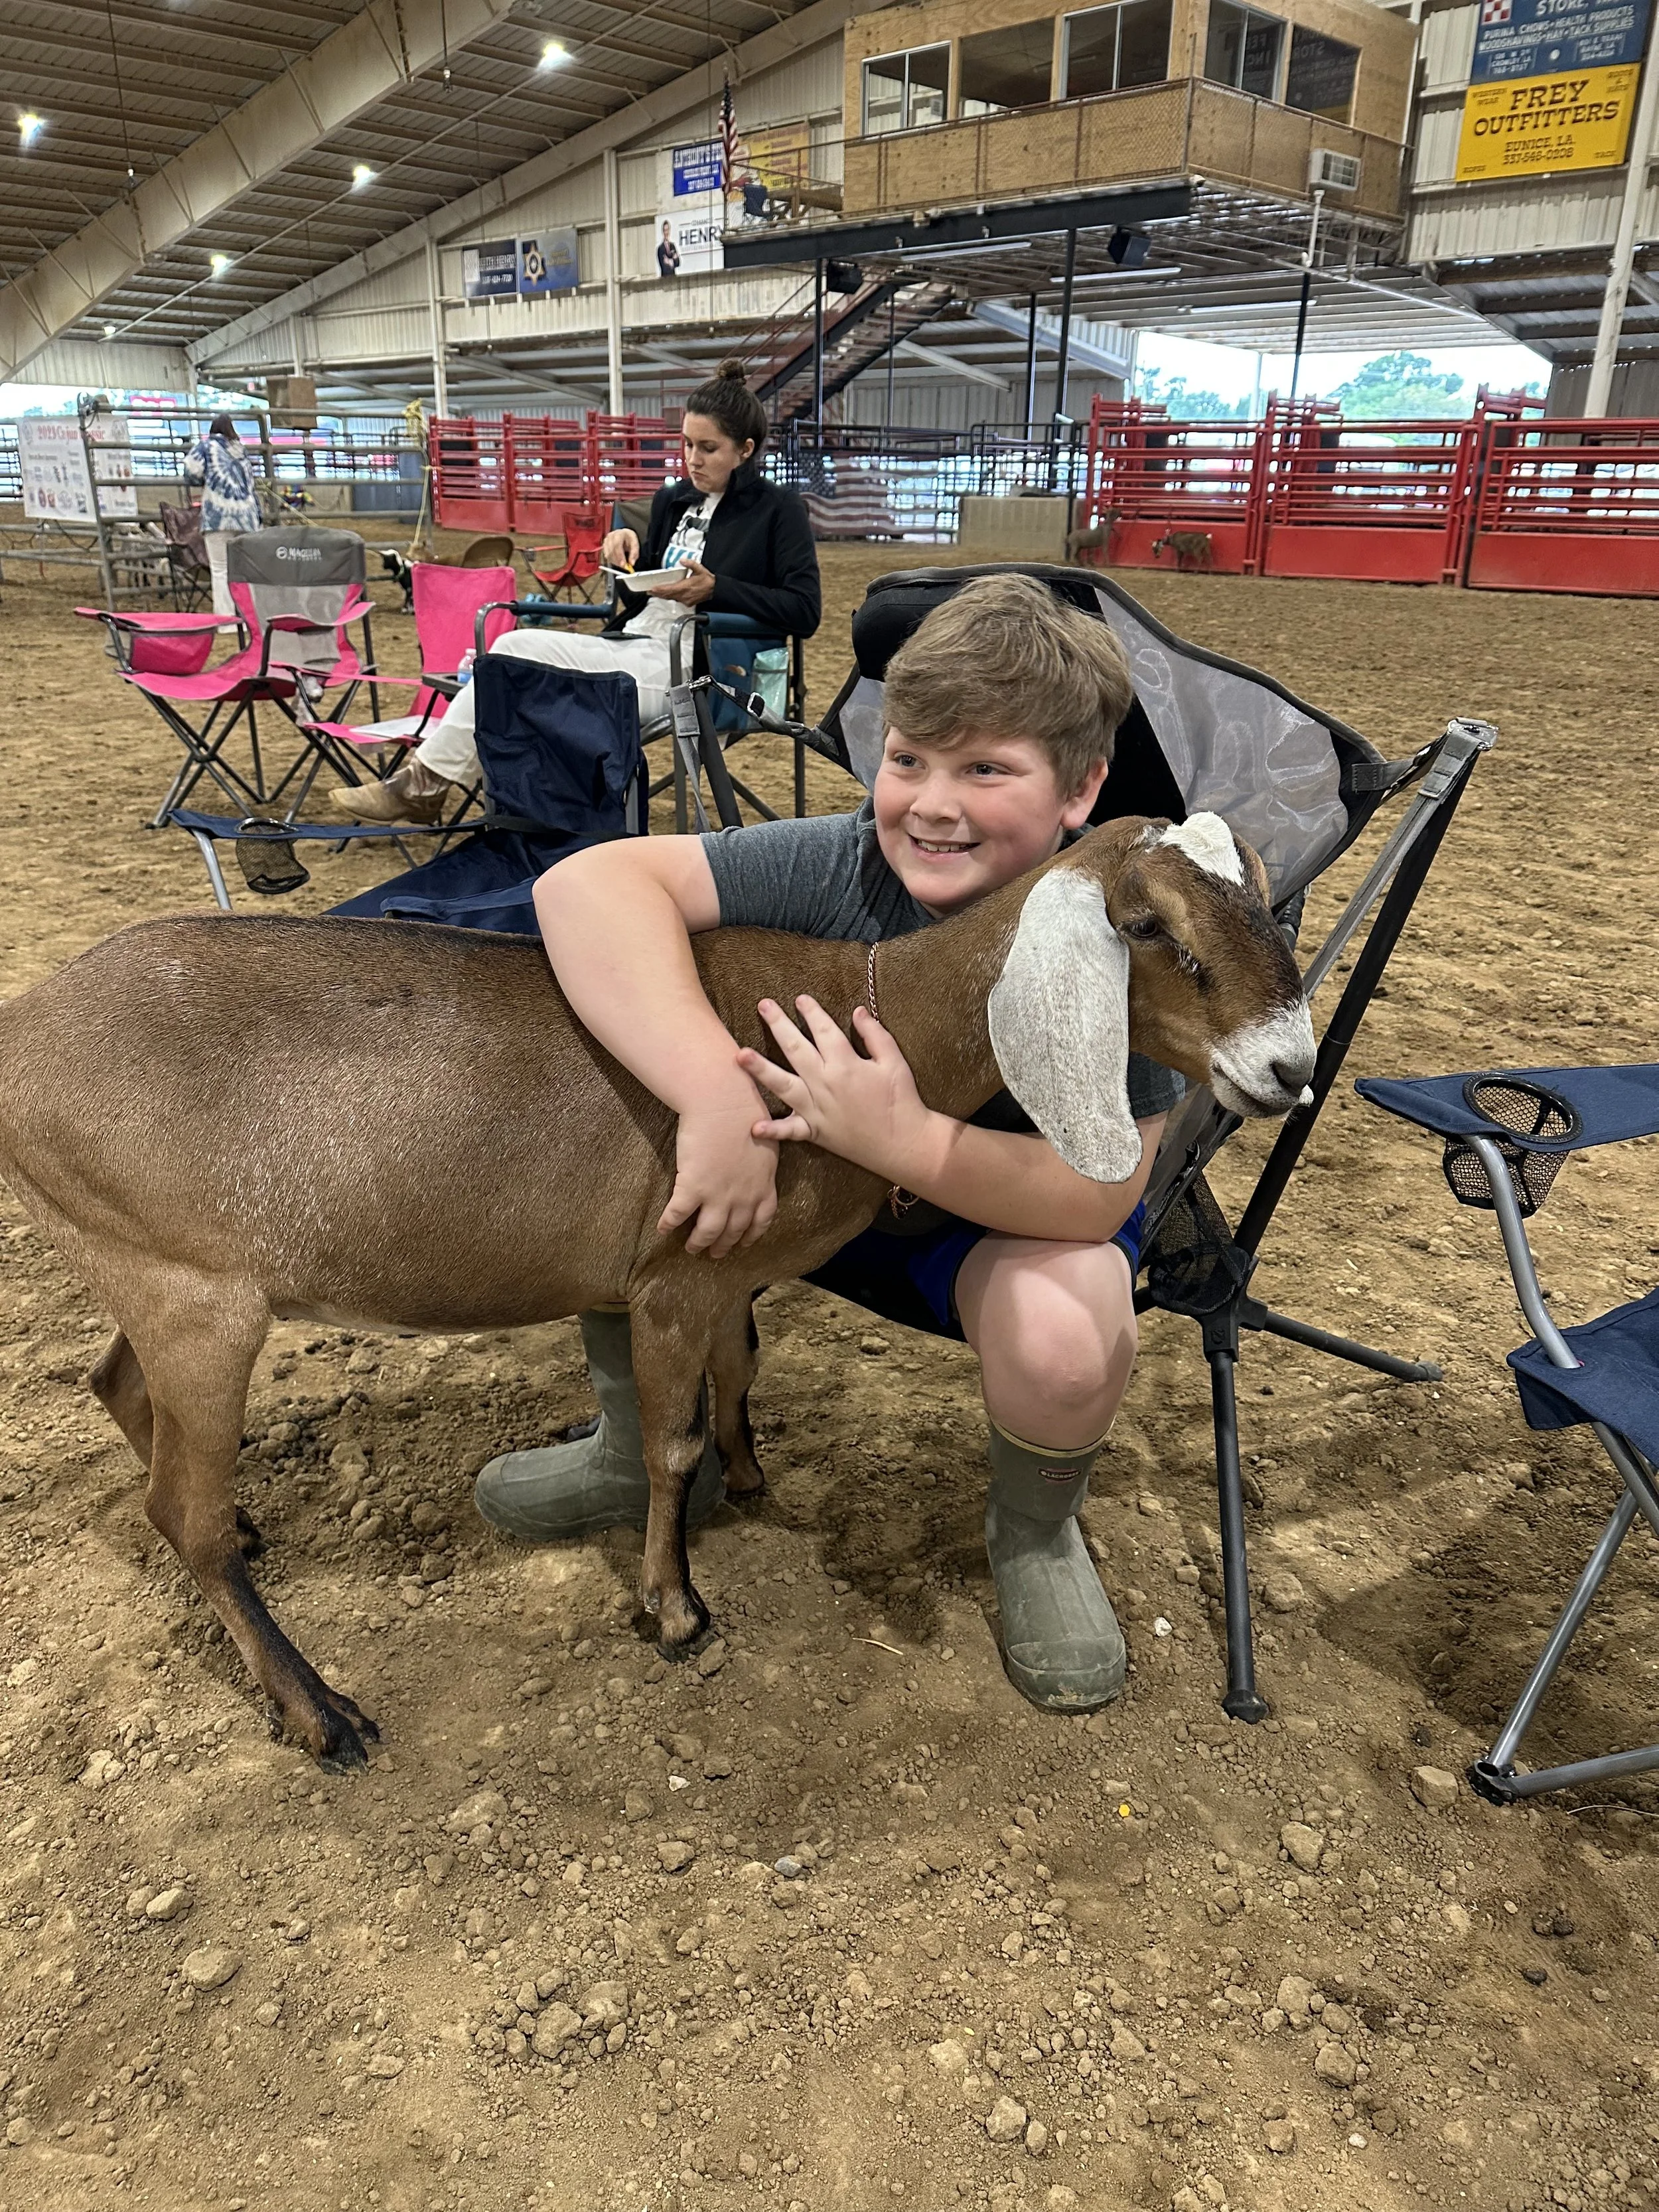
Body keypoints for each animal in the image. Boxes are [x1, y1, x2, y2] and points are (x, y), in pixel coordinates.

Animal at [0, 815, 1314, 1766]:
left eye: (1268, 897)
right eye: (1145, 922)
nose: (1289, 1066)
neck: (862, 1012)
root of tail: (22, 1036)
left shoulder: (723, 1277)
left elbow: (741, 1370)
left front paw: (749, 1473)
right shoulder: (676, 1279)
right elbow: (669, 1443)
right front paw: (675, 1607)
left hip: (141, 1267)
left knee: (116, 1389)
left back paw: (254, 1542)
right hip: (198, 1295)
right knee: (180, 1510)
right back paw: (321, 1710)